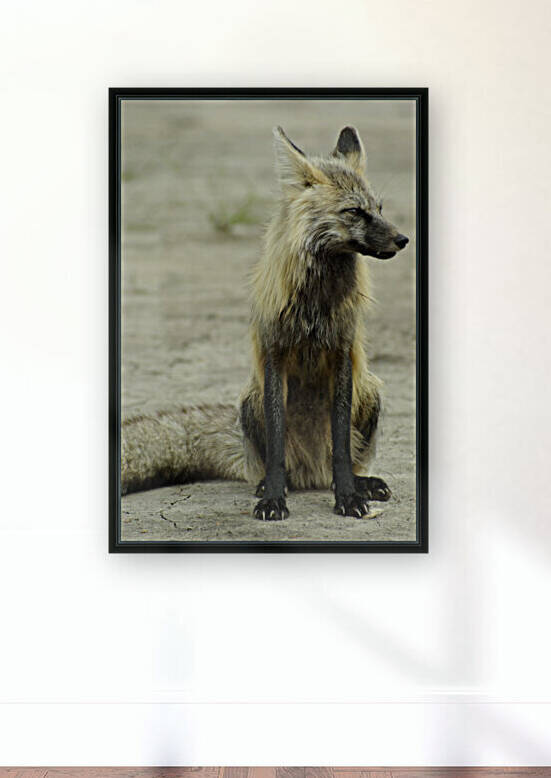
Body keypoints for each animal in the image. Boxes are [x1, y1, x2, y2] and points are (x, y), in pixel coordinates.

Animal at [121, 125, 409, 520]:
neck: (315, 305)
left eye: (379, 209)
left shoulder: (341, 354)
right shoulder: (275, 354)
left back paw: (358, 482)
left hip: (370, 391)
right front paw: (273, 498)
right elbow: (275, 445)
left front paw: (348, 497)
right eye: (354, 211)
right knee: (274, 463)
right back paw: (274, 483)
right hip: (250, 400)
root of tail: (311, 474)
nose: (403, 239)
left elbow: (341, 448)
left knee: (343, 463)